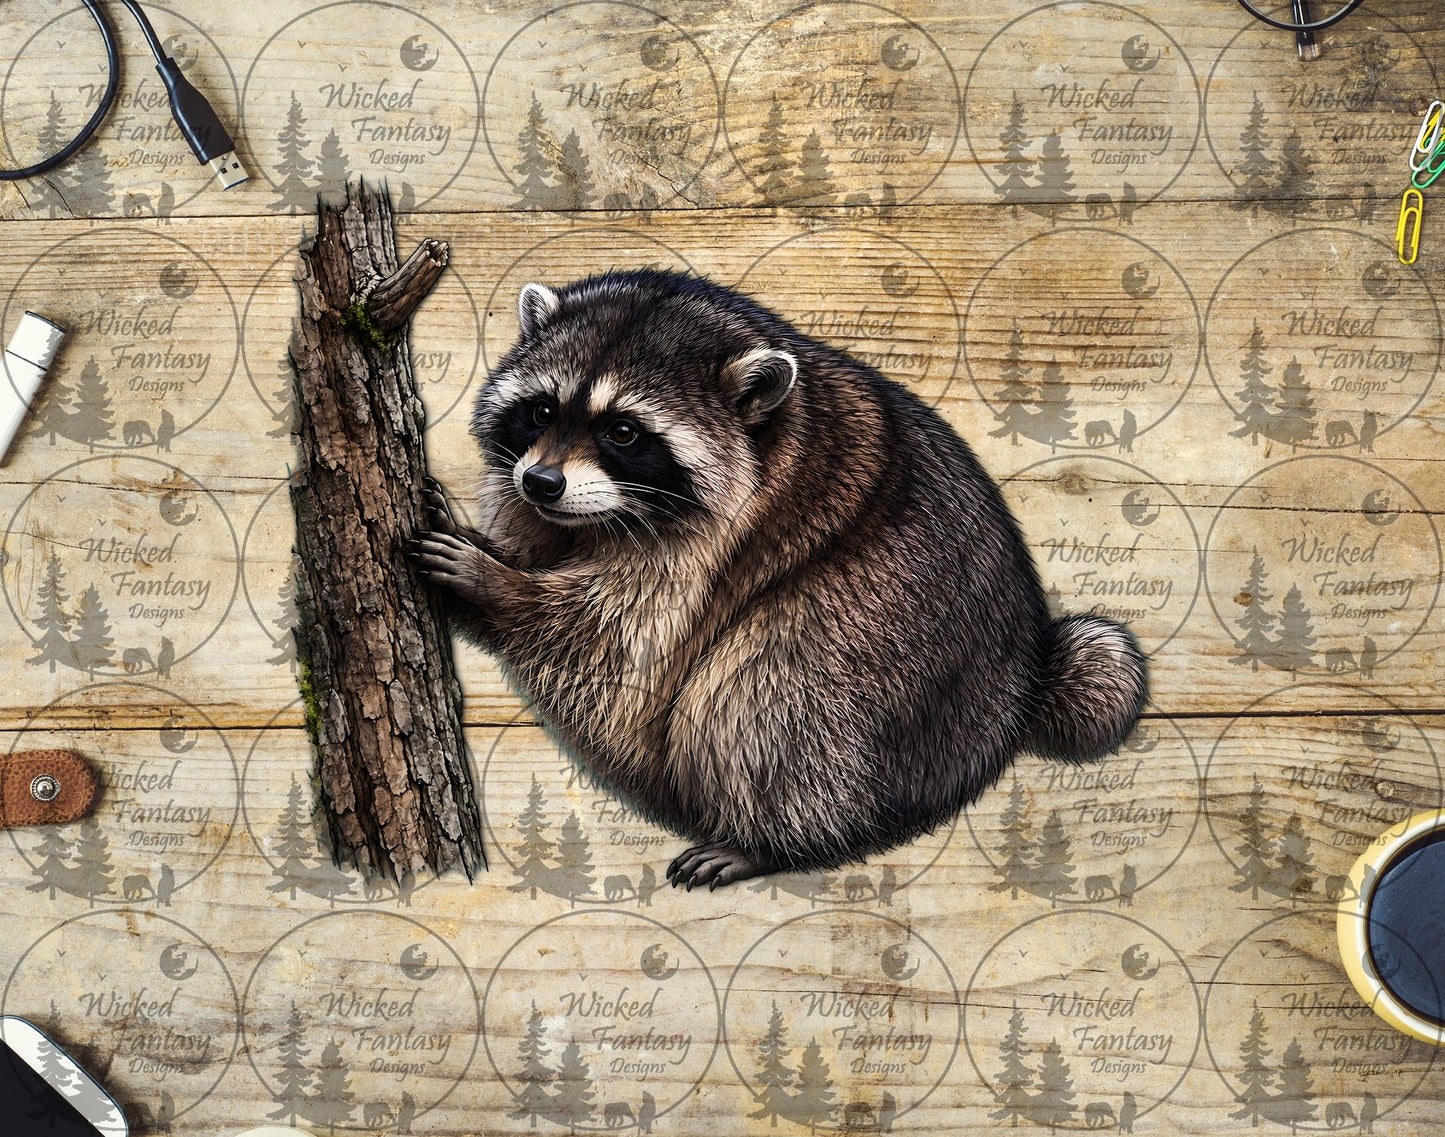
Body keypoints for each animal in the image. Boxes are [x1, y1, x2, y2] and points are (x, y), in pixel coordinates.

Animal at [411, 269, 1148, 889]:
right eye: (541, 410)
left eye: (623, 431)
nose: (542, 481)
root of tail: (1017, 690)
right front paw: (491, 549)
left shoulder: (714, 547)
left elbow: (615, 641)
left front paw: (496, 583)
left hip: (868, 646)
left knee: (760, 702)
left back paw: (769, 841)